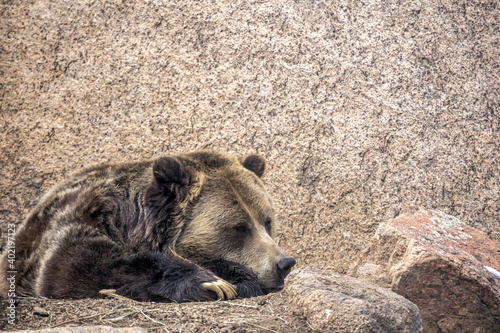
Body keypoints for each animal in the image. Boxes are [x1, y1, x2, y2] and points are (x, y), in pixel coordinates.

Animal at [0, 150, 294, 300]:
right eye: (239, 228)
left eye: (267, 221)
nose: (284, 263)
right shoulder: (80, 217)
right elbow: (75, 264)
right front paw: (209, 283)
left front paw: (234, 277)